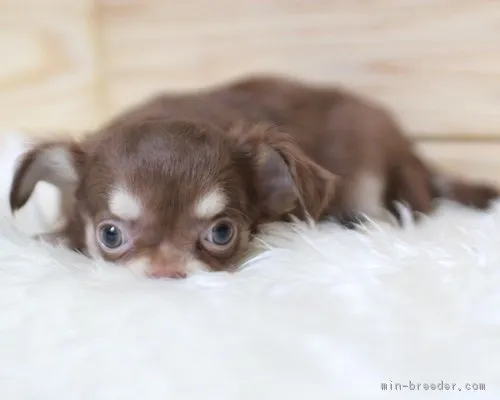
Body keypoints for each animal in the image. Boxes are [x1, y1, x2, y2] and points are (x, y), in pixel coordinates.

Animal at [8, 77, 500, 278]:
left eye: (221, 233)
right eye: (110, 235)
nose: (166, 271)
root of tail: (414, 152)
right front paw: (54, 236)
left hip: (369, 159)